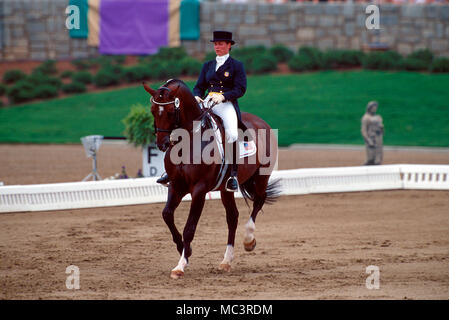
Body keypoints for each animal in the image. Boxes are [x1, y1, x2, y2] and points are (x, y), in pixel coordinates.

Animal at [143, 79, 280, 278]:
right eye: (153, 110)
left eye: (170, 111)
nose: (162, 144)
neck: (189, 141)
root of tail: (262, 122)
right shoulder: (176, 185)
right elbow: (167, 215)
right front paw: (185, 250)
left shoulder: (199, 190)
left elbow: (189, 228)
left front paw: (180, 266)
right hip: (225, 188)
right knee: (233, 217)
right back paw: (226, 261)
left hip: (261, 177)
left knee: (259, 201)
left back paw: (249, 241)